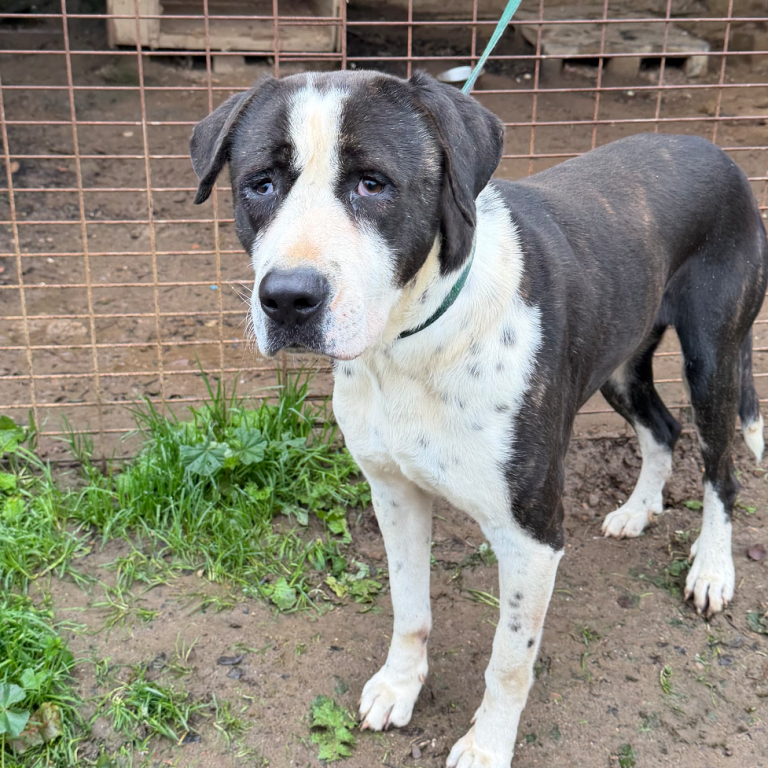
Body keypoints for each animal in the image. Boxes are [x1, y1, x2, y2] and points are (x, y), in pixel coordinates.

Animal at [191, 70, 768, 767]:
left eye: (372, 183)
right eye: (261, 184)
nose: (288, 298)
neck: (410, 342)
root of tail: (716, 151)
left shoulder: (531, 536)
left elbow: (509, 661)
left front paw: (488, 745)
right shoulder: (394, 493)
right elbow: (409, 607)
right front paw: (399, 687)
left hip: (714, 359)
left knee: (721, 470)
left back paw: (712, 571)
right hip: (620, 361)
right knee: (663, 428)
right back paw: (638, 510)